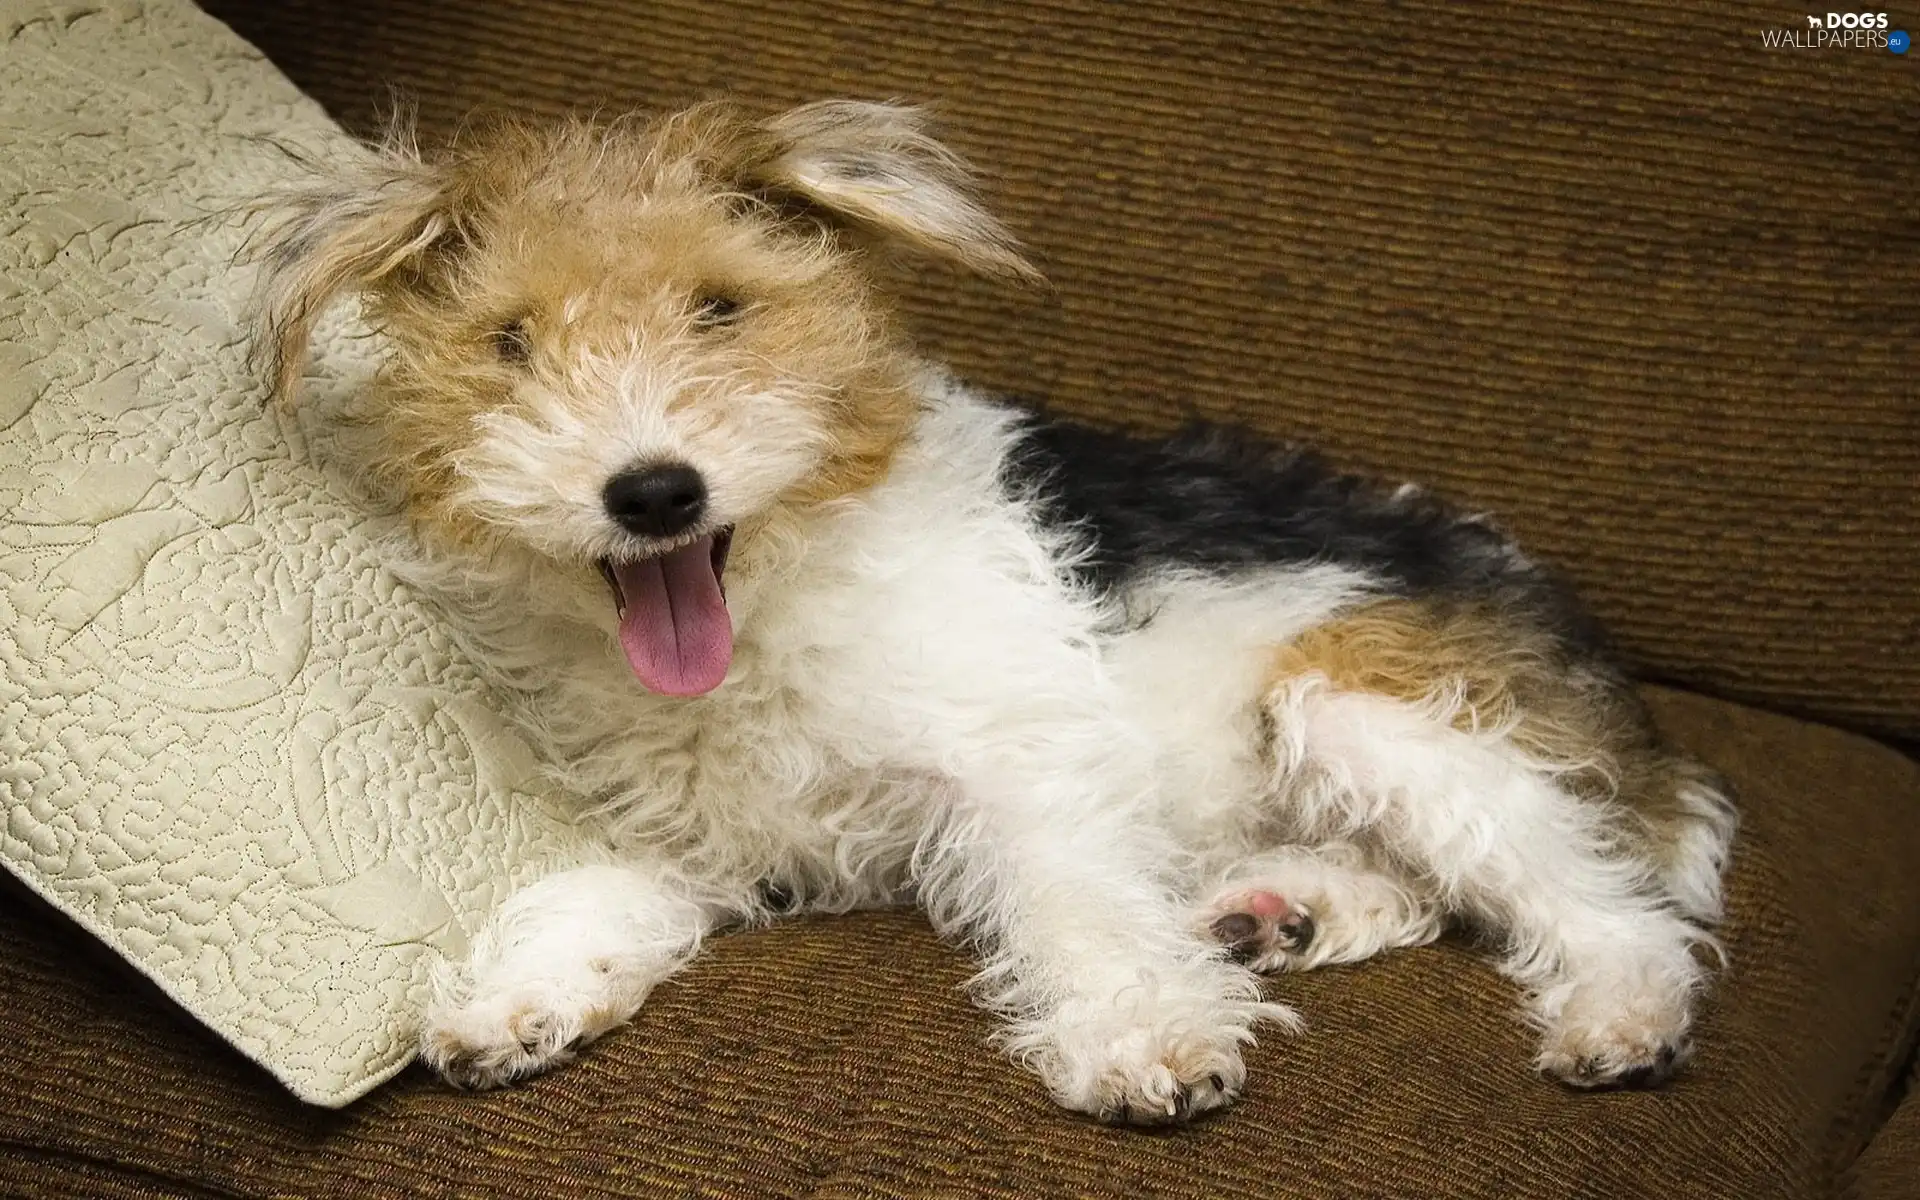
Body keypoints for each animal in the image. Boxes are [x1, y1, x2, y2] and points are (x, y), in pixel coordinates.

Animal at [243, 100, 1743, 1121]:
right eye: (509, 344)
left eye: (720, 309)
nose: (653, 491)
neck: (768, 612)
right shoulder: (708, 833)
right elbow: (594, 892)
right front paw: (520, 998)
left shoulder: (1026, 764)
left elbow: (1080, 906)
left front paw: (1144, 1040)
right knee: (1443, 890)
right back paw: (1284, 914)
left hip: (1362, 701)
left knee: (1595, 897)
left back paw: (1617, 1017)